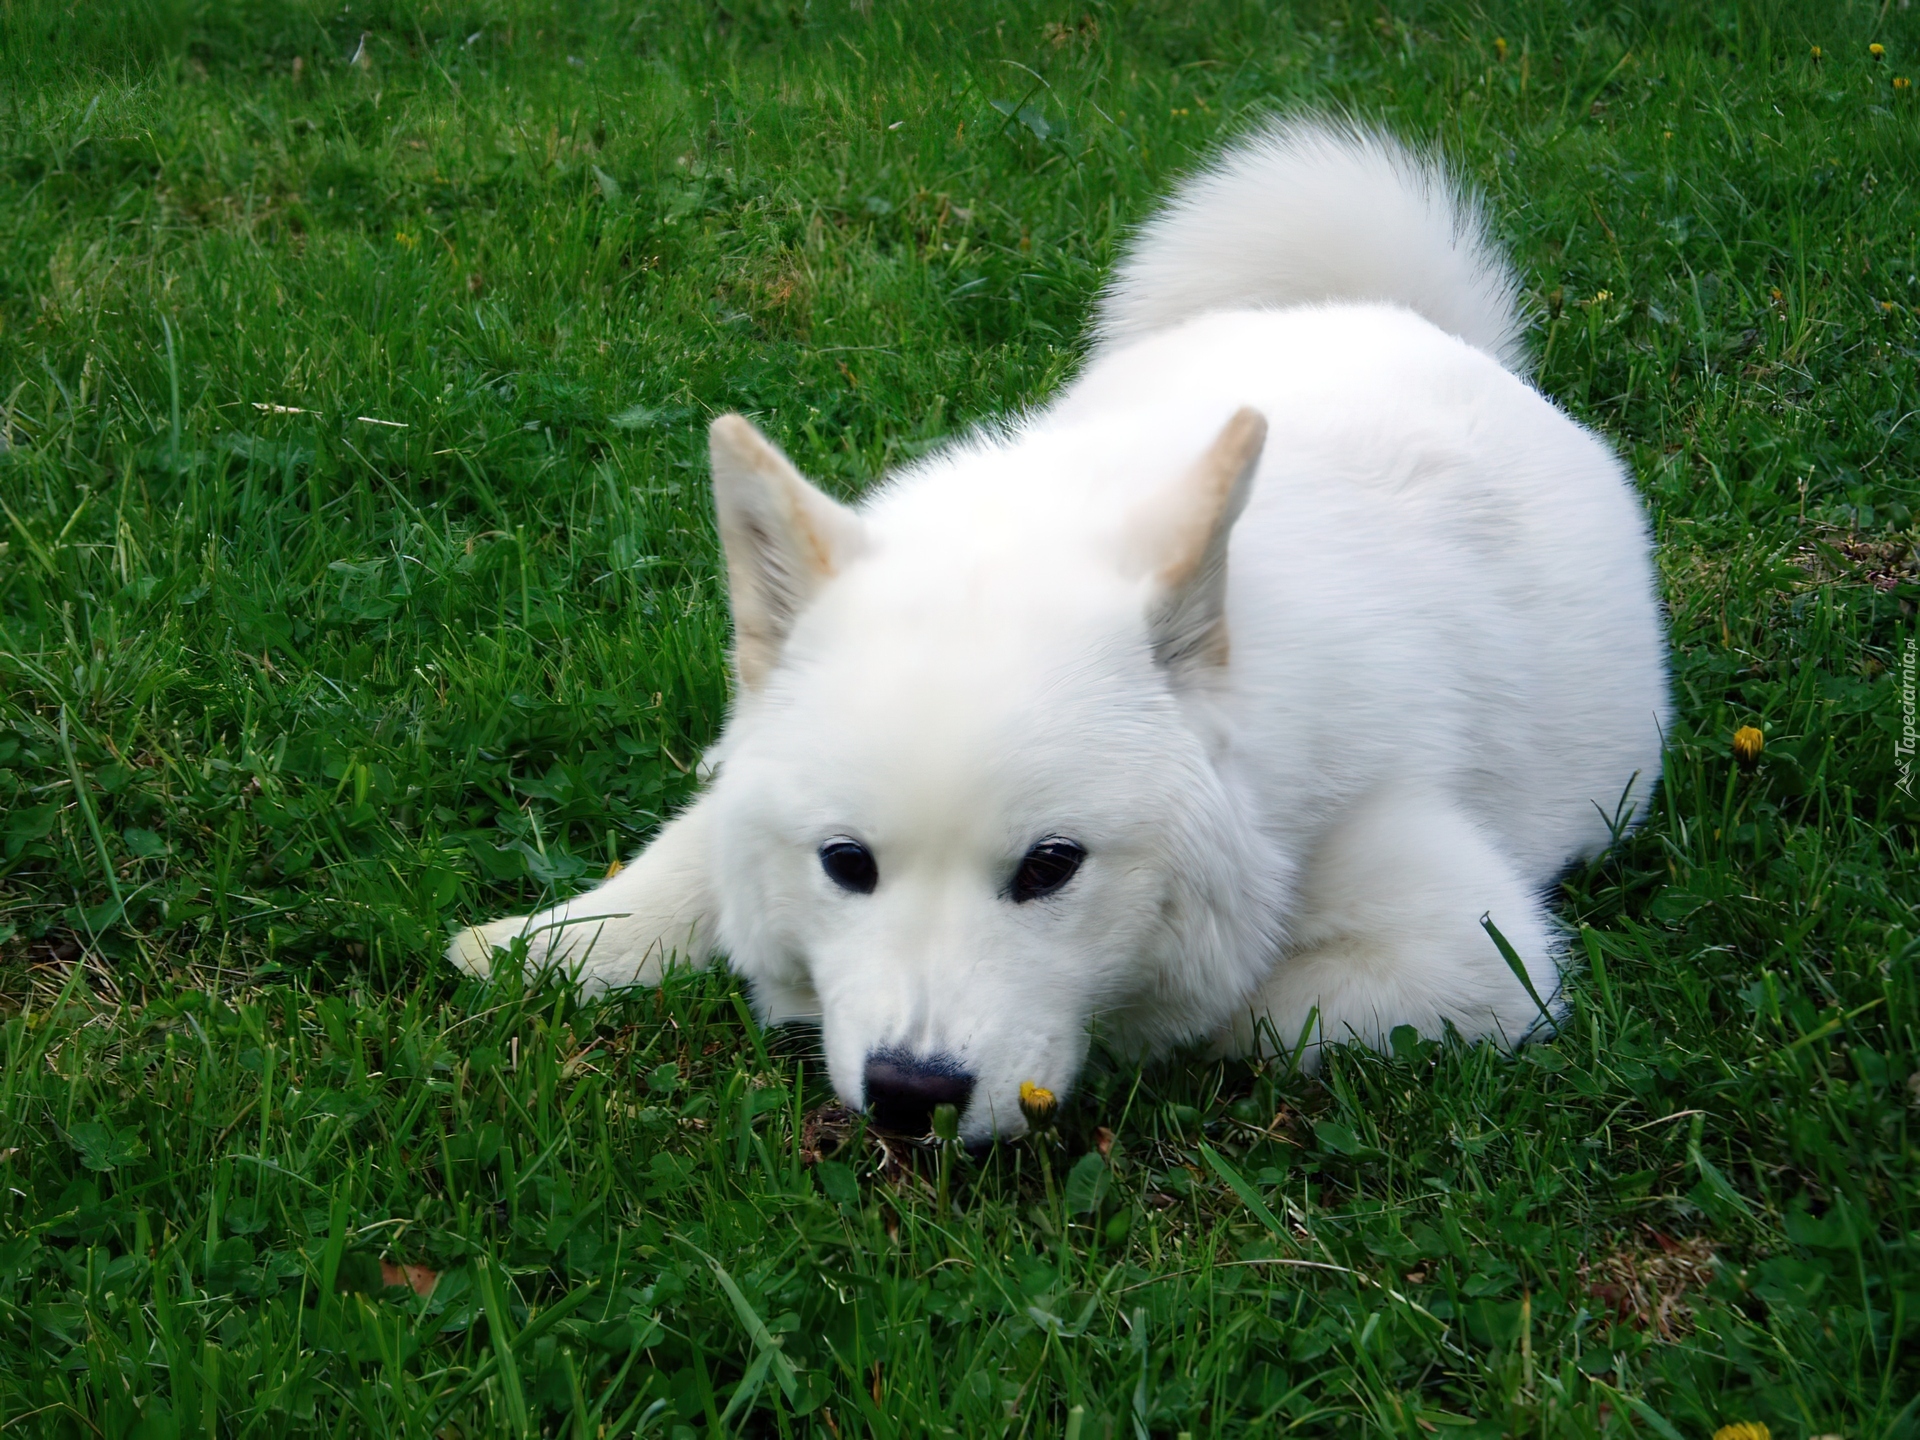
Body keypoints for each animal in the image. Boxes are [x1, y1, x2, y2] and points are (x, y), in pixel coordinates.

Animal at [445, 118, 1666, 1144]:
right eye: (847, 863)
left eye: (1050, 867)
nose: (911, 1095)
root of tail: (1402, 316)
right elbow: (680, 859)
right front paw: (542, 945)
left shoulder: (1475, 955)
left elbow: (1233, 1012)